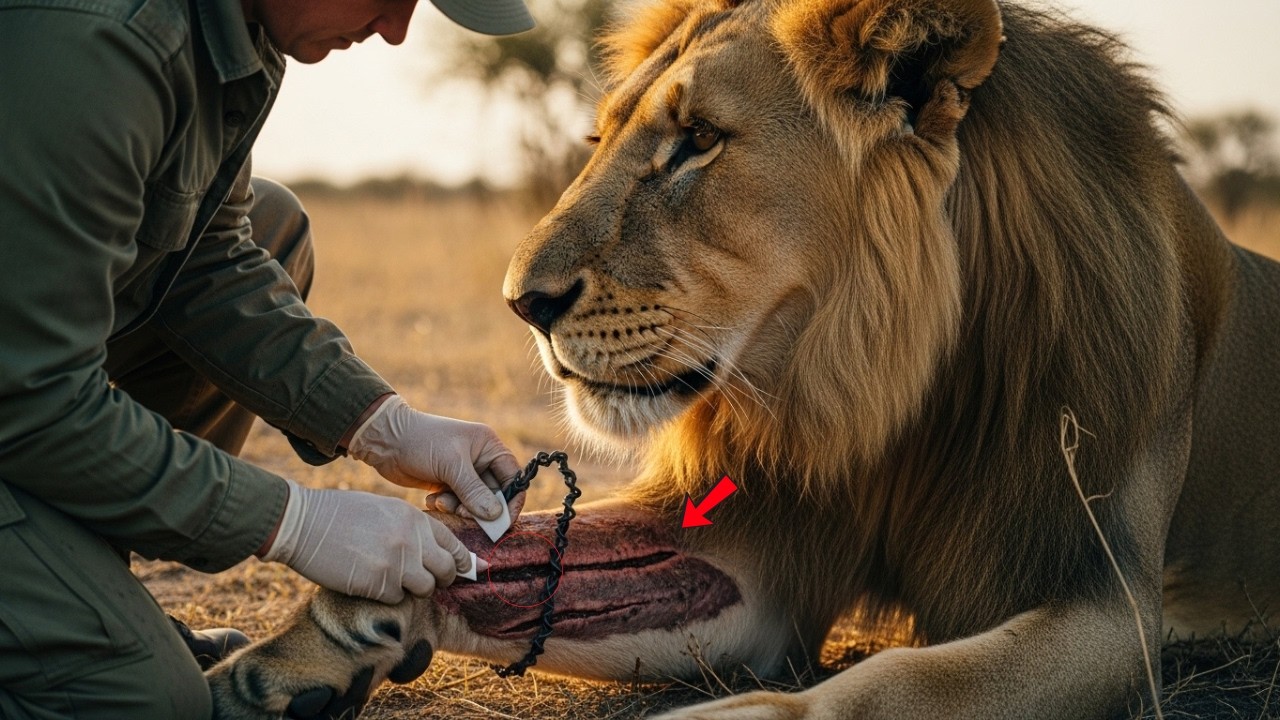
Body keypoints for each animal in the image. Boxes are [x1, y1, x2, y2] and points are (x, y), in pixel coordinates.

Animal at [207, 0, 1280, 717]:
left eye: (696, 140)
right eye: (602, 135)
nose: (522, 303)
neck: (870, 390)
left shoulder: (1109, 604)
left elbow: (894, 684)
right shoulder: (756, 557)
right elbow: (515, 562)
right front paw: (325, 631)